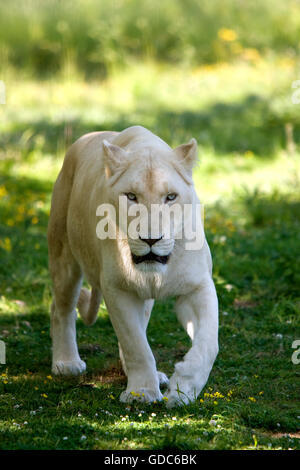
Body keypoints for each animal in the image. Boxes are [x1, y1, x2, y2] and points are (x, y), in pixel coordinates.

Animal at [48, 126, 219, 408]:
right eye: (131, 196)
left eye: (170, 197)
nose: (151, 240)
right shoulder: (117, 289)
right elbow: (135, 344)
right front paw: (142, 392)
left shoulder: (197, 286)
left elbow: (208, 343)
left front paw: (183, 388)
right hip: (64, 257)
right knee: (61, 309)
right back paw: (66, 362)